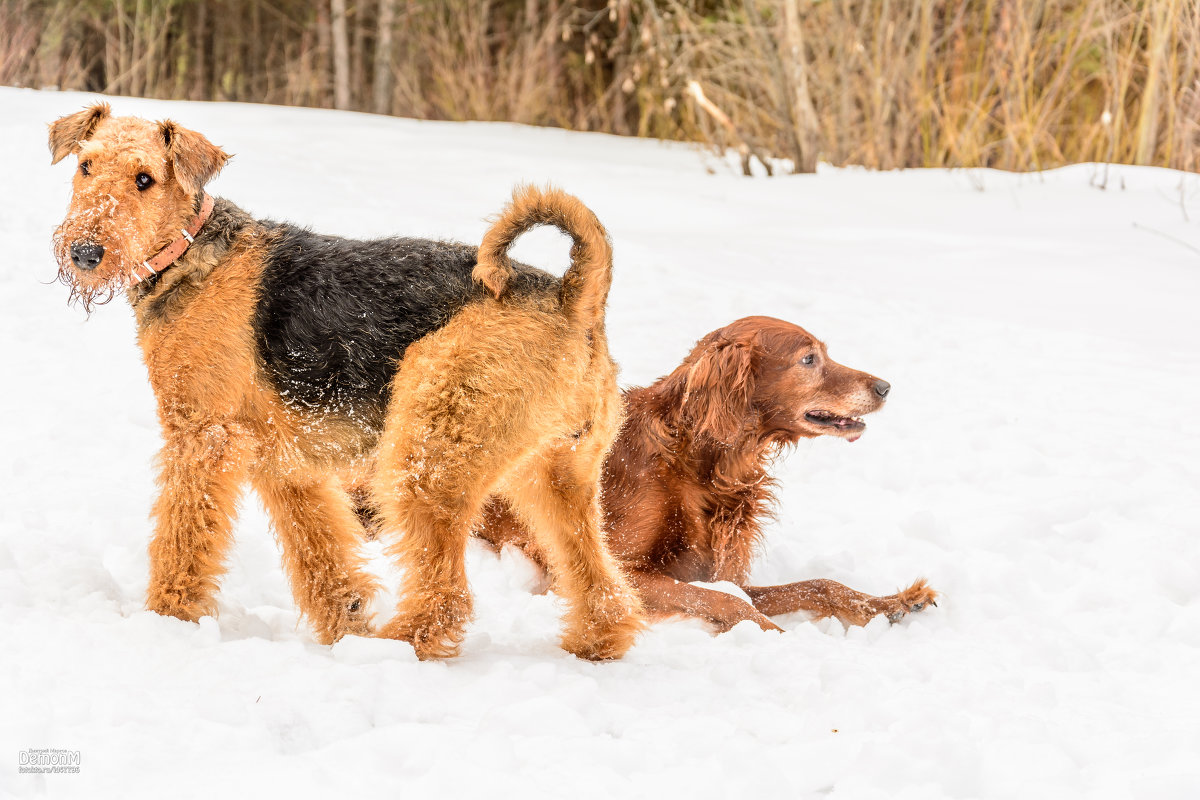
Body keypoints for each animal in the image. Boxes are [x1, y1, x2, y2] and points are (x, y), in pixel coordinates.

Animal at [49, 103, 648, 662]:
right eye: (85, 166)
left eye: (144, 178)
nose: (85, 253)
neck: (190, 253)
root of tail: (573, 298)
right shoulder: (285, 461)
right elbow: (321, 555)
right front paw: (347, 620)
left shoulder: (201, 437)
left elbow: (183, 536)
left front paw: (166, 619)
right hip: (555, 475)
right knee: (601, 583)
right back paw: (592, 644)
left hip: (427, 455)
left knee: (449, 594)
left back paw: (394, 647)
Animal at [475, 316, 936, 633]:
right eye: (808, 359)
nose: (885, 387)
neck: (696, 461)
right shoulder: (597, 573)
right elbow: (728, 603)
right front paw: (776, 635)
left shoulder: (719, 574)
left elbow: (820, 584)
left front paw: (890, 604)